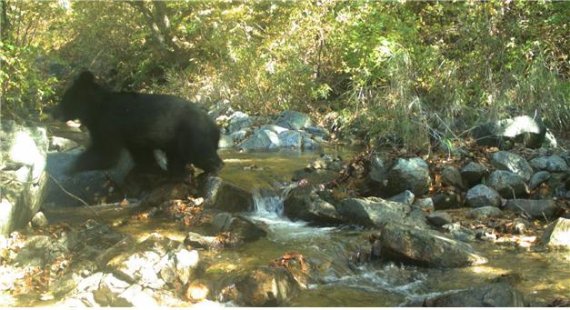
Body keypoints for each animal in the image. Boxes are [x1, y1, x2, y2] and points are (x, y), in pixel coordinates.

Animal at [56, 70, 222, 177]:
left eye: (65, 100)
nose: (54, 112)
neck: (95, 109)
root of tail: (215, 126)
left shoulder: (109, 124)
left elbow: (105, 152)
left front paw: (70, 168)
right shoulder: (133, 138)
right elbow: (141, 154)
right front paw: (147, 168)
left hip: (192, 134)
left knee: (201, 153)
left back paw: (214, 168)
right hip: (175, 141)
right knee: (178, 157)